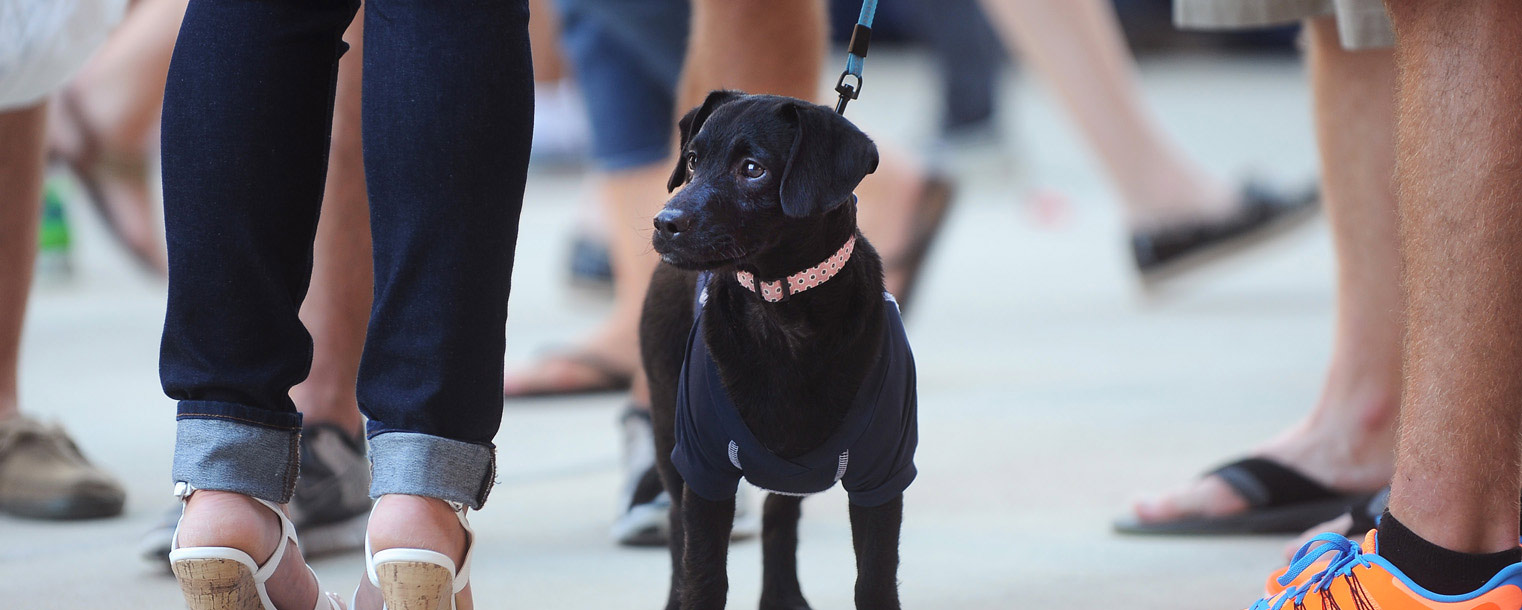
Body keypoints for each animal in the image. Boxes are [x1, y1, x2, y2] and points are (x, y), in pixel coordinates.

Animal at [639, 91, 913, 608]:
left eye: (753, 169)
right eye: (692, 160)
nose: (664, 223)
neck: (783, 316)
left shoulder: (882, 476)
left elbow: (875, 581)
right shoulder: (703, 471)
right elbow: (704, 575)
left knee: (778, 518)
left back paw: (783, 595)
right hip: (668, 432)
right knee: (676, 529)